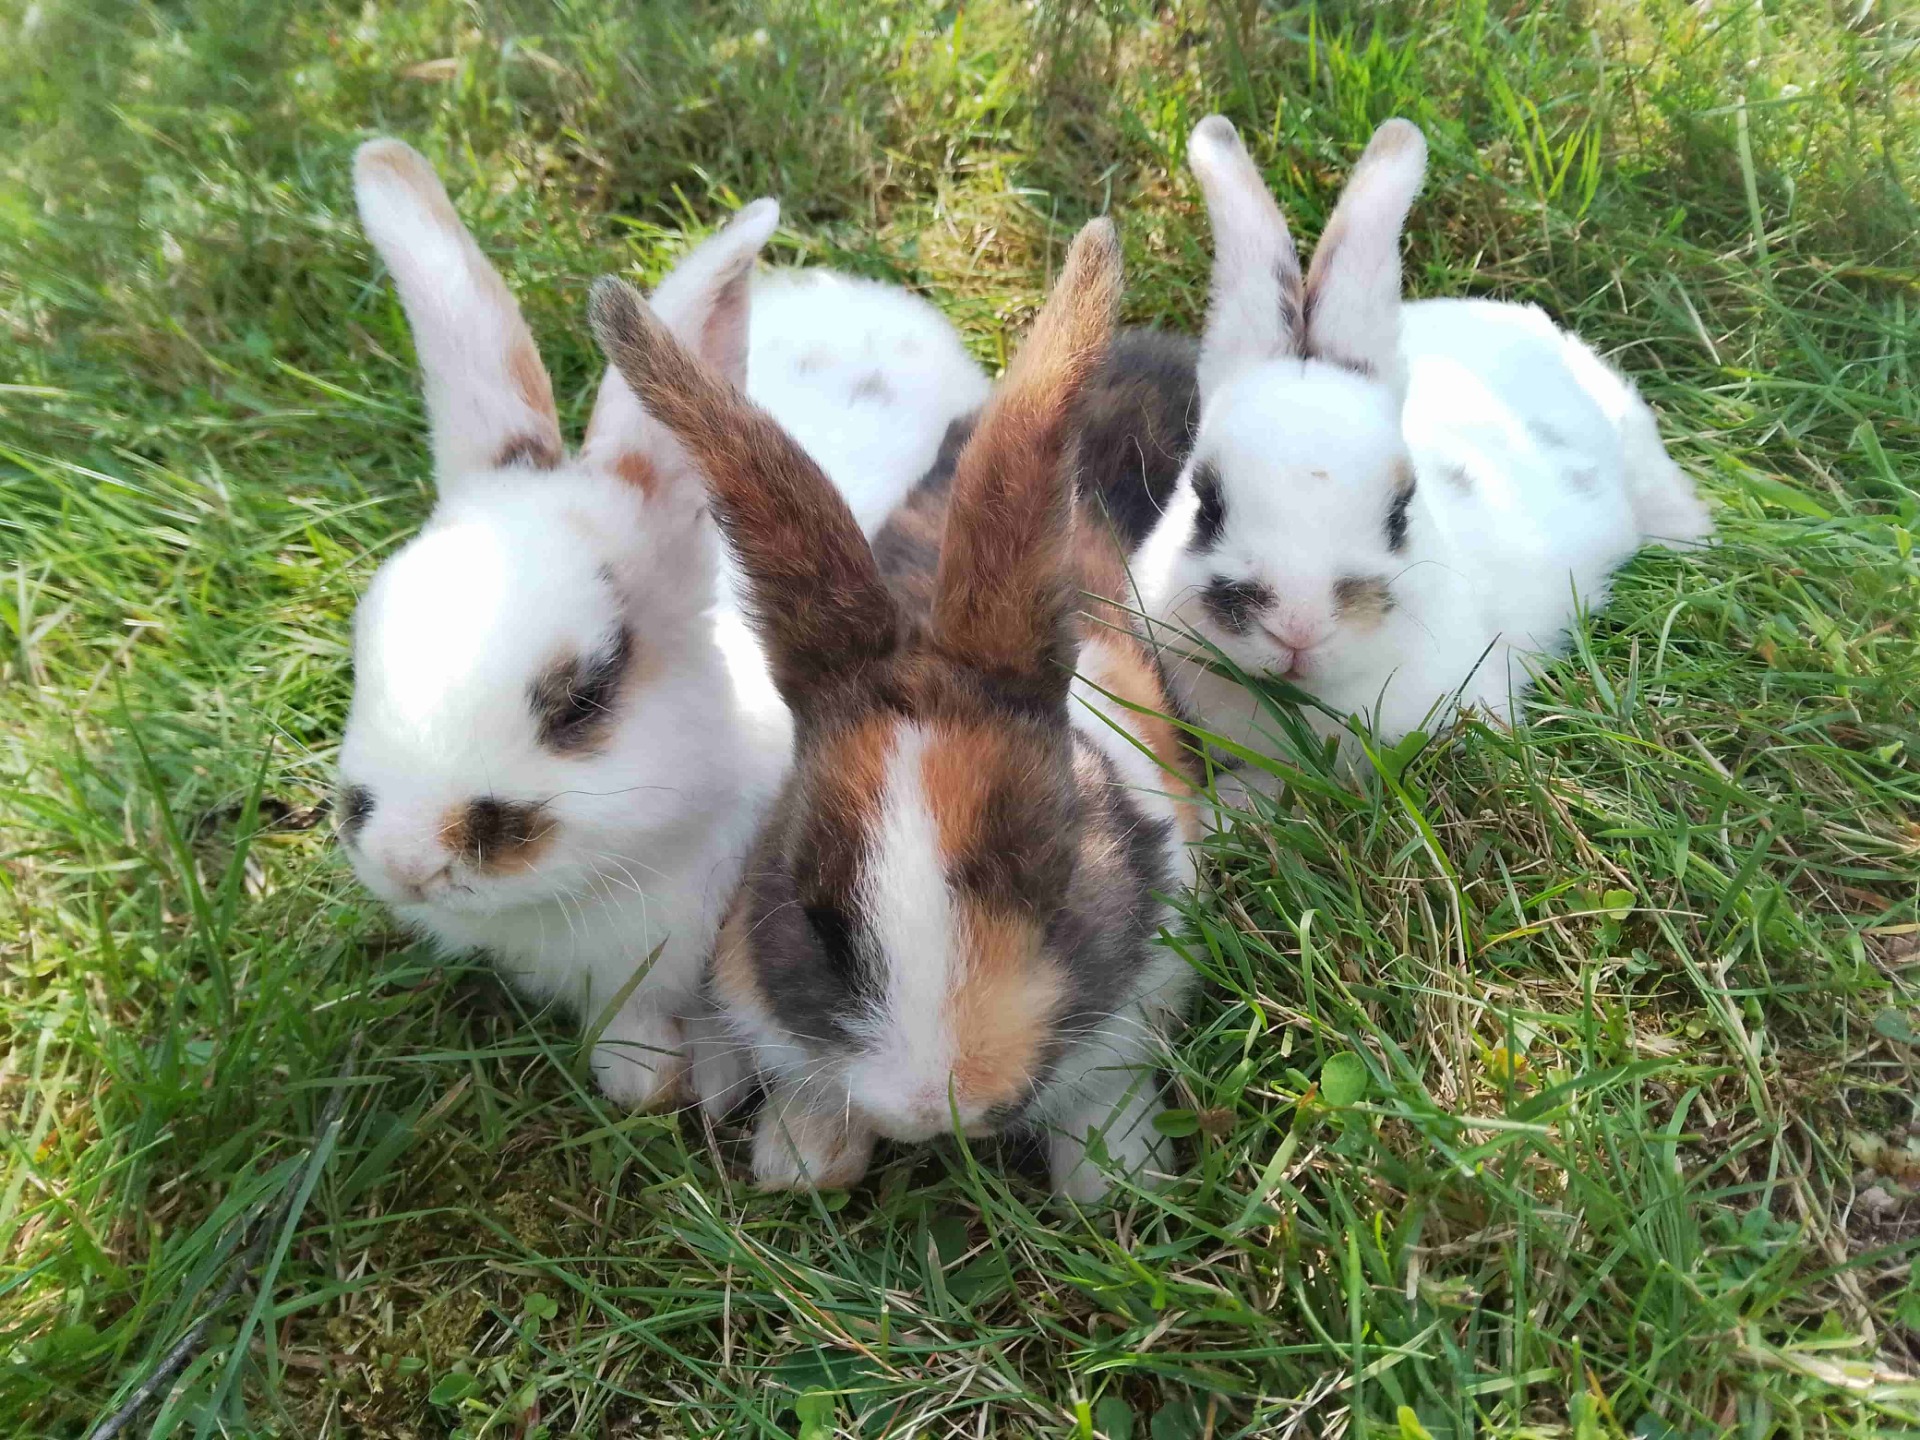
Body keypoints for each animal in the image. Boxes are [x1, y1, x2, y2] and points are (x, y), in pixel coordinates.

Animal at [588, 218, 1204, 1203]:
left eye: (1056, 888)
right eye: (818, 922)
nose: (937, 1103)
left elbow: (1103, 1101)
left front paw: (1119, 1184)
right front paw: (801, 1156)